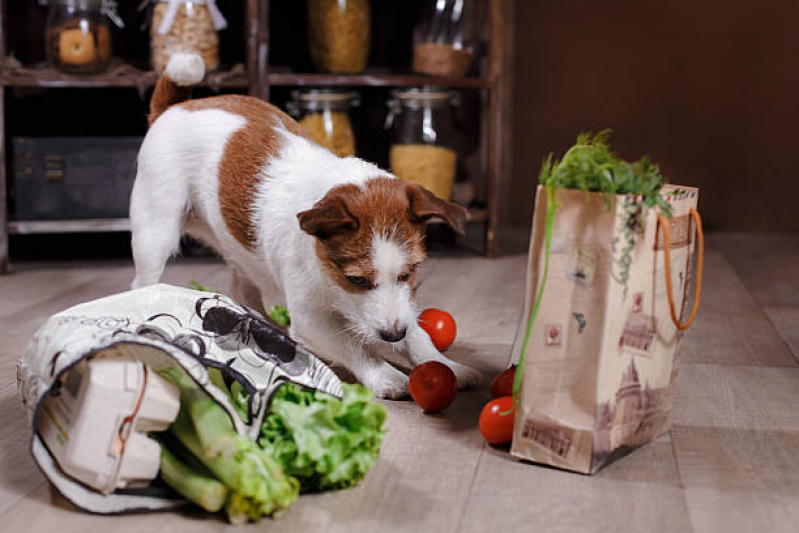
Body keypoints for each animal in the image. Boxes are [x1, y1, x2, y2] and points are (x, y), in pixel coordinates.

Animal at [131, 52, 482, 396]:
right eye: (356, 280)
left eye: (410, 272)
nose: (393, 336)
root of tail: (174, 107)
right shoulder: (309, 320)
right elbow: (352, 345)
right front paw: (385, 376)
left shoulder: (402, 307)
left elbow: (416, 333)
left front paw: (444, 365)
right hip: (156, 232)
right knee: (143, 281)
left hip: (239, 251)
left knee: (243, 290)